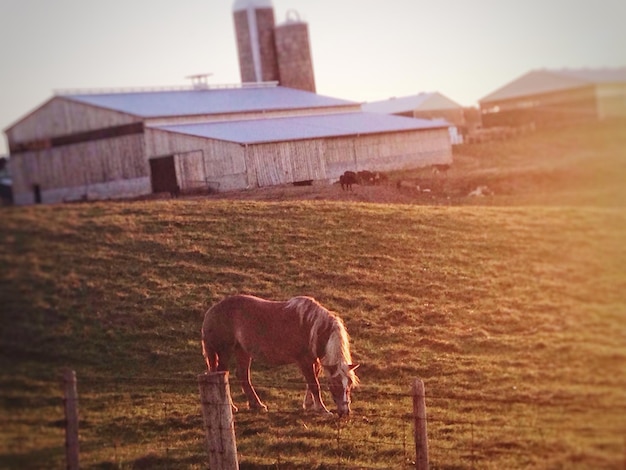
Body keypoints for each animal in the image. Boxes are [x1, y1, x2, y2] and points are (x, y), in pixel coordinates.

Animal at [202, 296, 358, 416]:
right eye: (336, 384)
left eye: (349, 384)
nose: (345, 412)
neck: (313, 327)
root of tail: (211, 311)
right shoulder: (304, 361)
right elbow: (314, 385)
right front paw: (322, 409)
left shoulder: (314, 361)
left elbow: (311, 383)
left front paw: (309, 404)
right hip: (224, 352)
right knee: (221, 375)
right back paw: (232, 407)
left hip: (242, 351)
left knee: (243, 376)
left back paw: (257, 405)